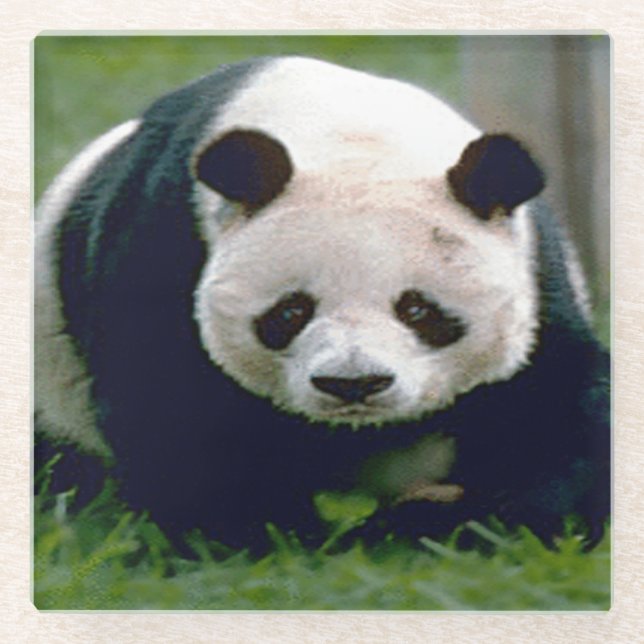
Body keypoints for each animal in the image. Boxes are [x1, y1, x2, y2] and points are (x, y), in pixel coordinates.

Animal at [35, 56, 610, 553]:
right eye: (290, 311)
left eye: (418, 310)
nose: (353, 384)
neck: (353, 137)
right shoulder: (163, 244)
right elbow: (172, 412)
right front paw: (262, 533)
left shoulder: (536, 281)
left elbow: (551, 412)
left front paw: (457, 521)